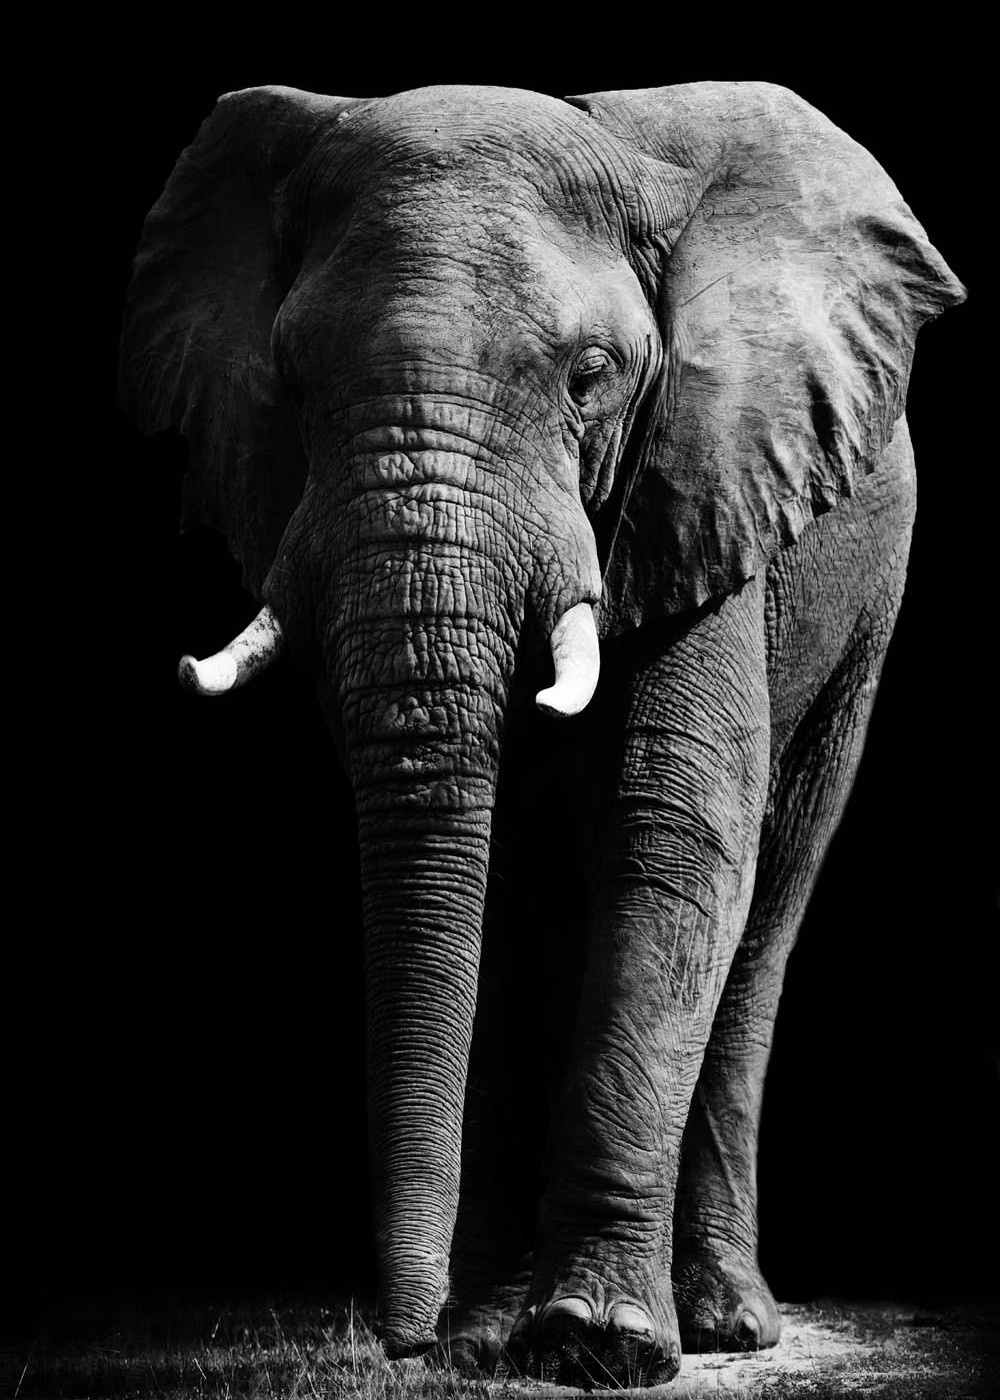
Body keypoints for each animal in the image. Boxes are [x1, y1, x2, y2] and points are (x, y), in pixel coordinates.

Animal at [119, 80, 964, 1388]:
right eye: (289, 382)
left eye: (590, 375)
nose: (404, 1337)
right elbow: (502, 875)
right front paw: (491, 1338)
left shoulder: (703, 479)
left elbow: (672, 835)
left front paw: (594, 1342)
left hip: (868, 602)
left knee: (768, 906)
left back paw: (721, 1322)